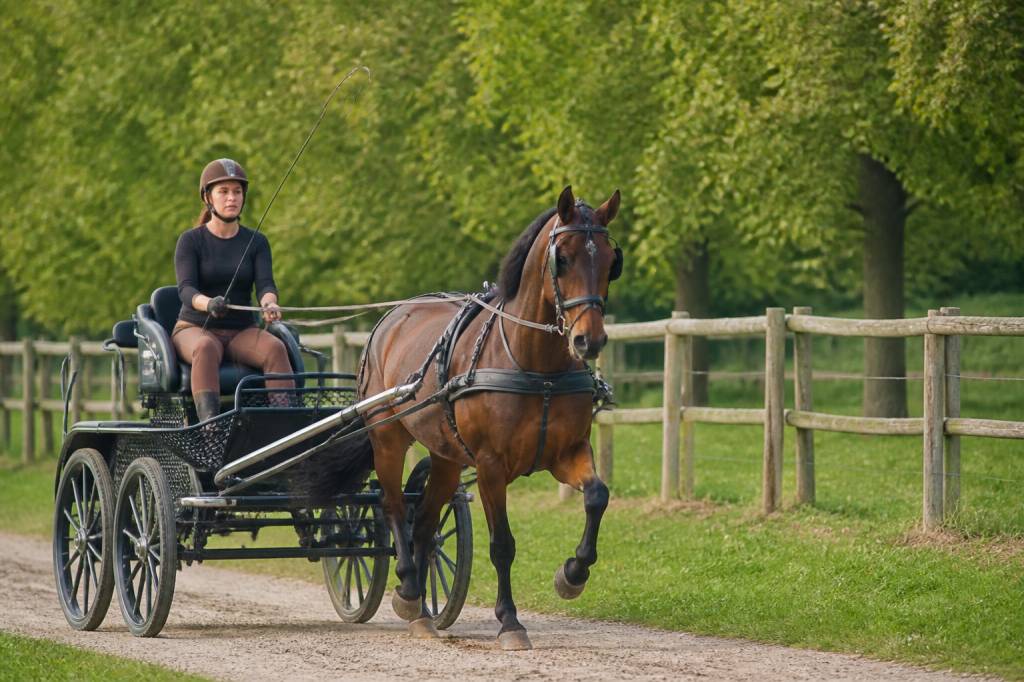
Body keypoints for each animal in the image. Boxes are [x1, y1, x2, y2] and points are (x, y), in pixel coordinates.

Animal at [358, 185, 622, 650]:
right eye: (563, 258)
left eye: (611, 261)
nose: (588, 341)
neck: (537, 367)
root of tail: (391, 318)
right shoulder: (490, 466)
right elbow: (502, 544)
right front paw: (510, 621)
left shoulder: (568, 453)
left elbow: (596, 496)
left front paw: (572, 574)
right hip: (388, 438)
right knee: (393, 508)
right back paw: (408, 589)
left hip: (446, 457)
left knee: (424, 525)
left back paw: (421, 610)